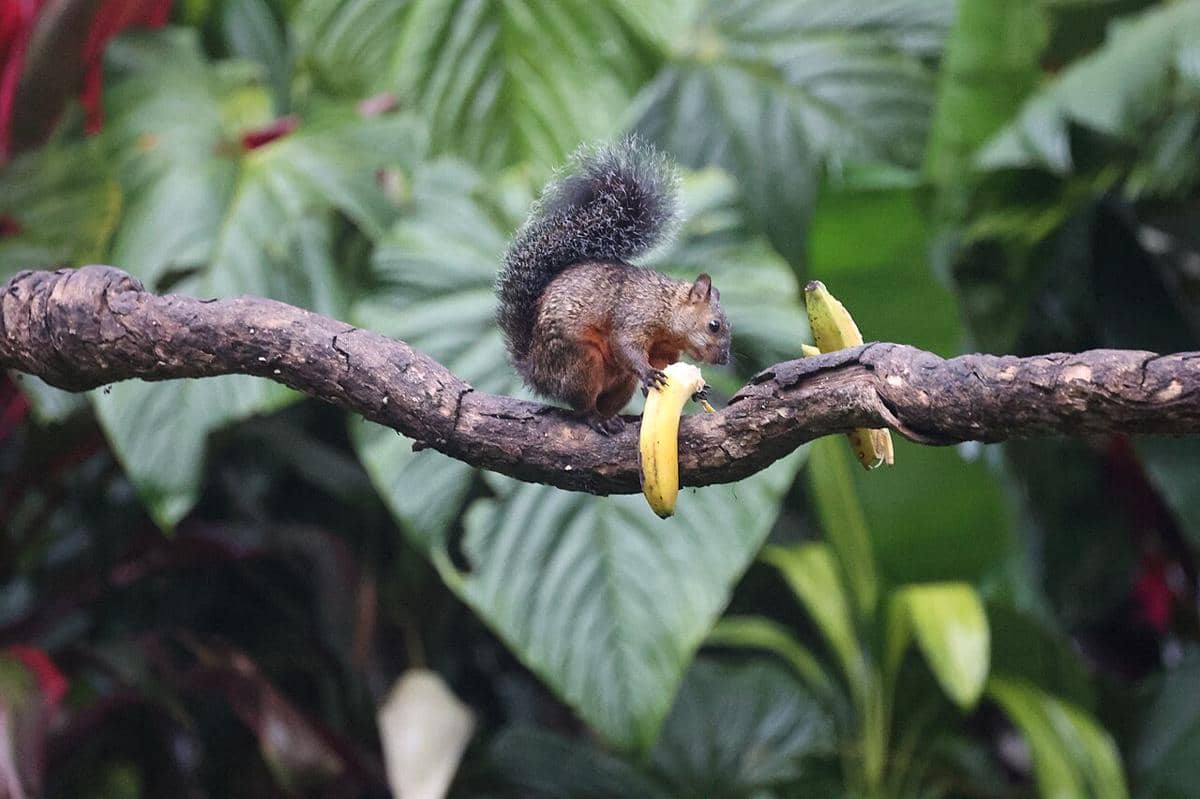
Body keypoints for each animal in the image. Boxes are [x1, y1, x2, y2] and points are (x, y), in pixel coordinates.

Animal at [496, 136, 731, 434]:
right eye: (714, 326)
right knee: (582, 407)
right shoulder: (634, 316)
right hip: (580, 363)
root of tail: (535, 370)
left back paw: (615, 417)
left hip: (621, 382)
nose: (723, 359)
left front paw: (697, 391)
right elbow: (625, 345)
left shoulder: (665, 350)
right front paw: (648, 373)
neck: (665, 306)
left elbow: (662, 362)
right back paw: (596, 418)